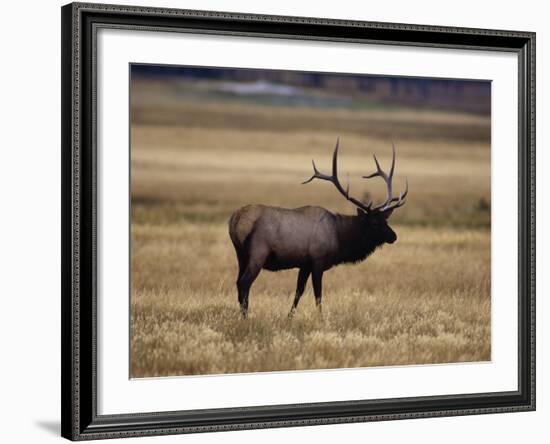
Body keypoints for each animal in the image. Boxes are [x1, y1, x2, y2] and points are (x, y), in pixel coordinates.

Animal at [230, 137, 410, 318]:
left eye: (386, 220)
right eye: (374, 223)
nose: (394, 236)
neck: (340, 237)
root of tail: (235, 220)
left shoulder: (304, 264)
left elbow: (299, 291)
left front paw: (289, 317)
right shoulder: (318, 260)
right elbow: (318, 293)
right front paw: (320, 318)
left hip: (241, 255)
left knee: (238, 283)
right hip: (258, 253)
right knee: (244, 283)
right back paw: (246, 317)